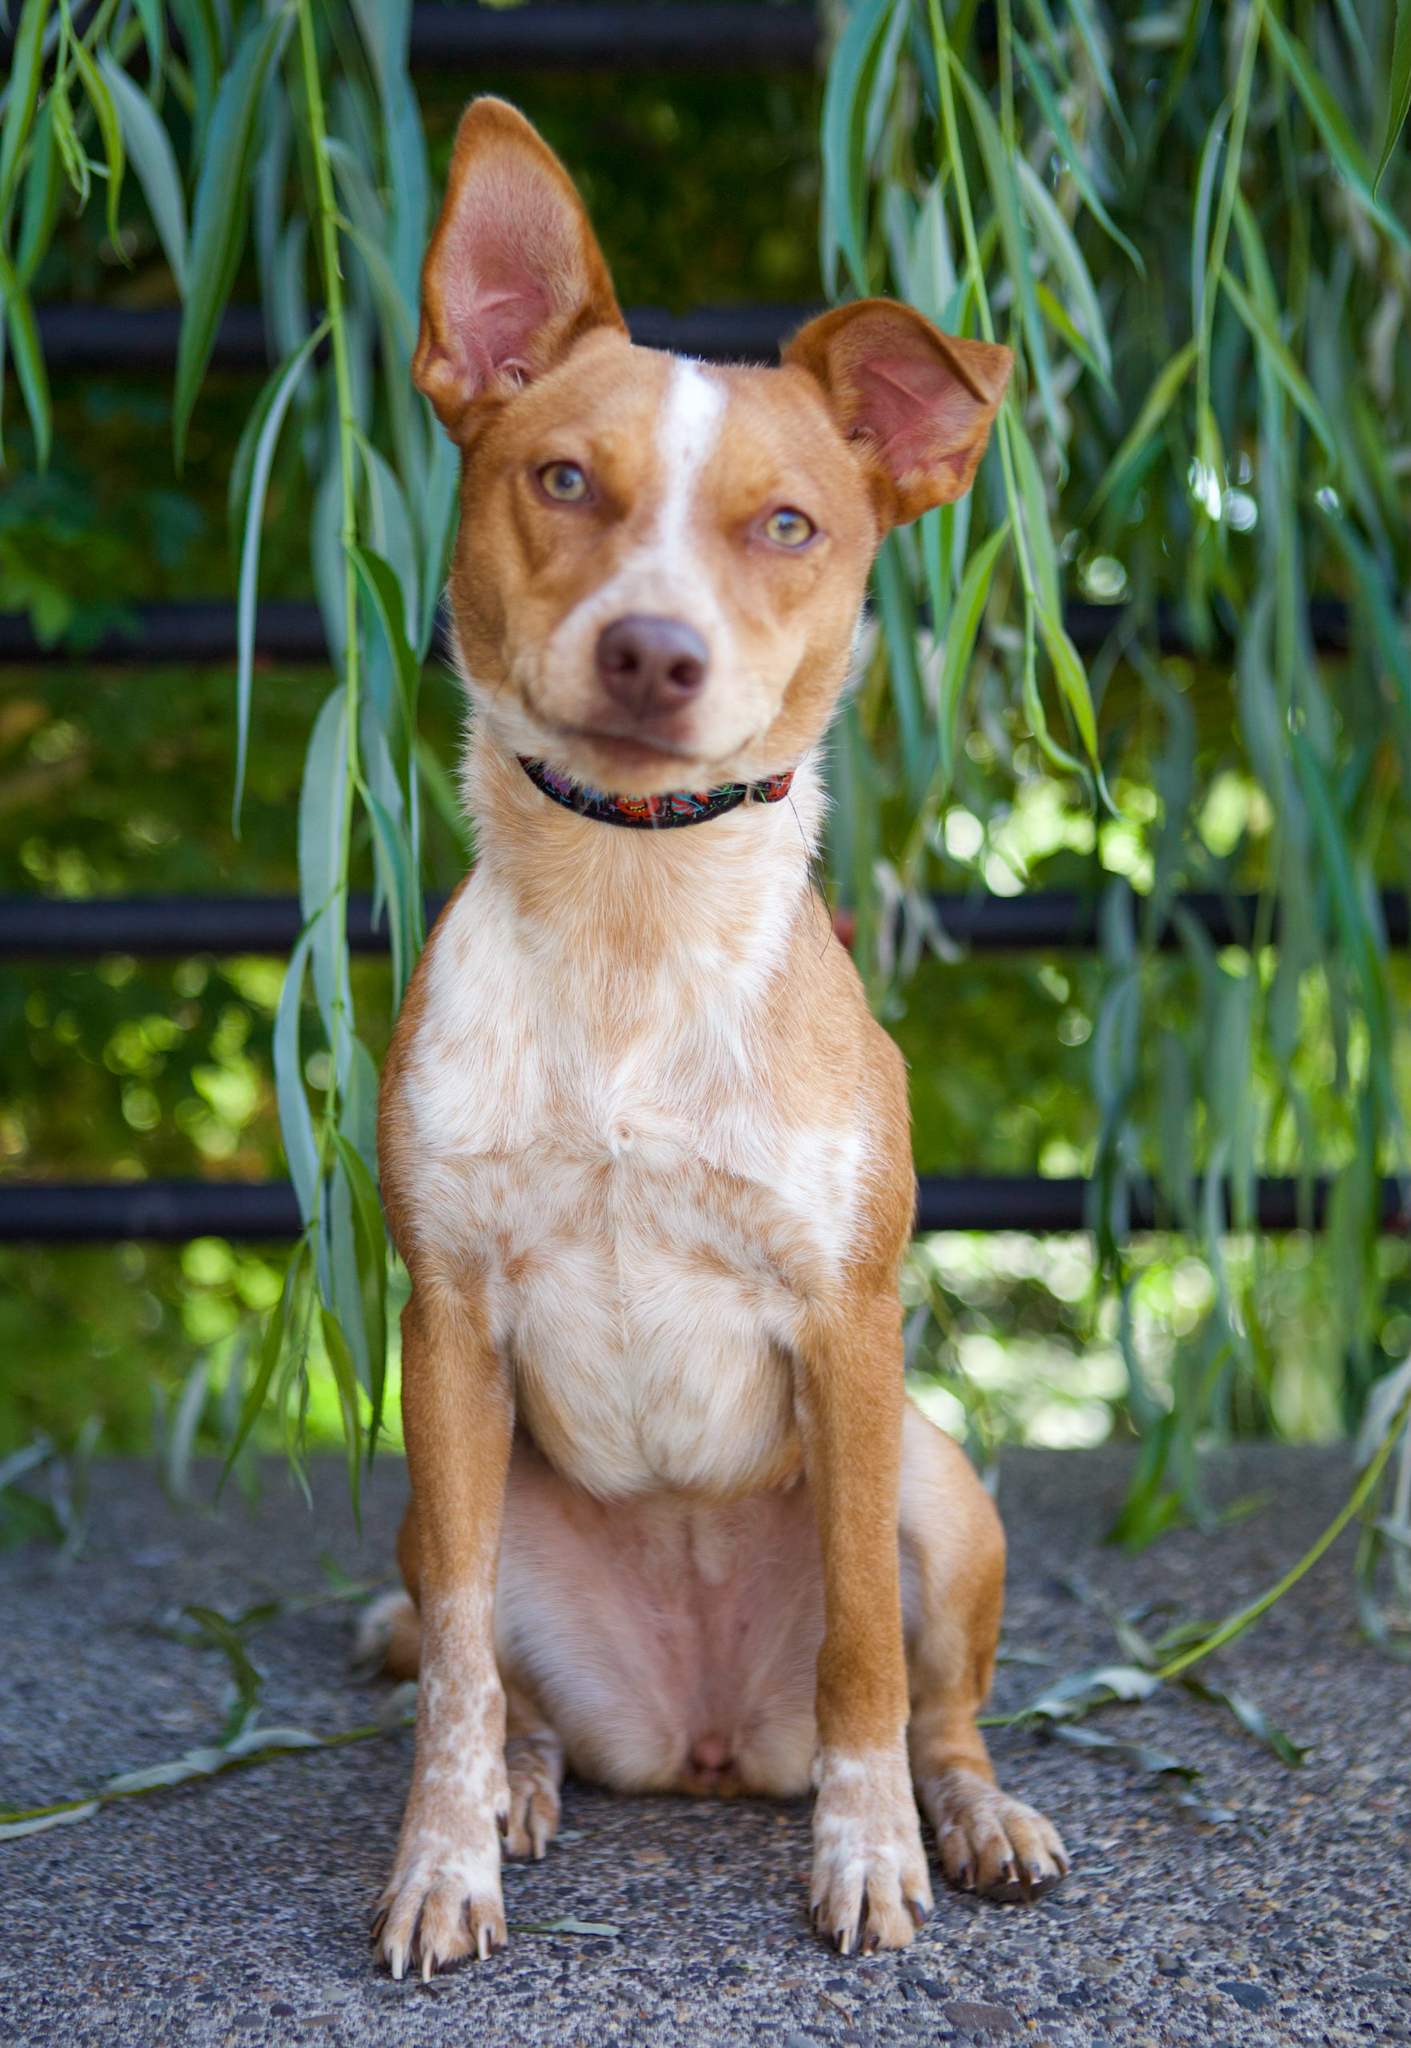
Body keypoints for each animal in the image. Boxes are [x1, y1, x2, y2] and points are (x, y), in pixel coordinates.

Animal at [361, 97, 1068, 1979]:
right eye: (560, 481)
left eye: (789, 524)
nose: (652, 651)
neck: (630, 908)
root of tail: (699, 1739)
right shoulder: (444, 1322)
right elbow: (451, 1682)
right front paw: (445, 1860)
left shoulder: (846, 1320)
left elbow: (864, 1652)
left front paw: (873, 1853)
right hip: (441, 1502)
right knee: (488, 1668)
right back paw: (532, 1781)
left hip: (940, 1480)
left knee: (931, 1699)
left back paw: (969, 1812)